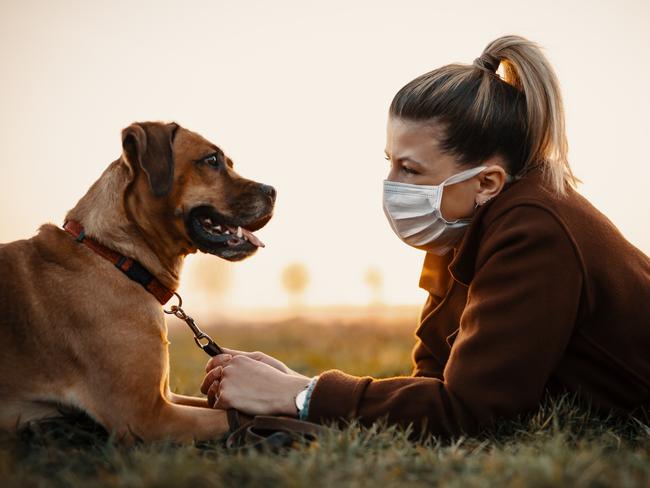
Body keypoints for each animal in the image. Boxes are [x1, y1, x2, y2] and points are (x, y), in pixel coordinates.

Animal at [0, 122, 276, 442]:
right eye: (211, 160)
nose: (273, 191)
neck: (117, 256)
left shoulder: (167, 397)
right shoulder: (147, 416)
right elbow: (246, 415)